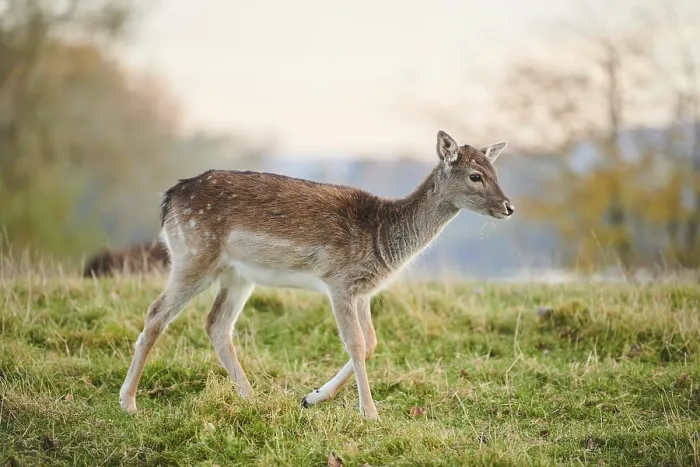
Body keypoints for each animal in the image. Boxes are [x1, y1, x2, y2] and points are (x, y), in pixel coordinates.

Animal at [119, 130, 514, 419]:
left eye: (496, 172)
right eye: (476, 176)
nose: (509, 207)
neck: (383, 240)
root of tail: (168, 199)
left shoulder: (363, 290)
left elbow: (372, 342)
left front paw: (312, 397)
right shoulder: (339, 281)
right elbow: (356, 343)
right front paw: (370, 413)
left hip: (238, 275)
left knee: (217, 324)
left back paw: (251, 397)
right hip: (193, 255)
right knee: (156, 313)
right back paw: (129, 402)